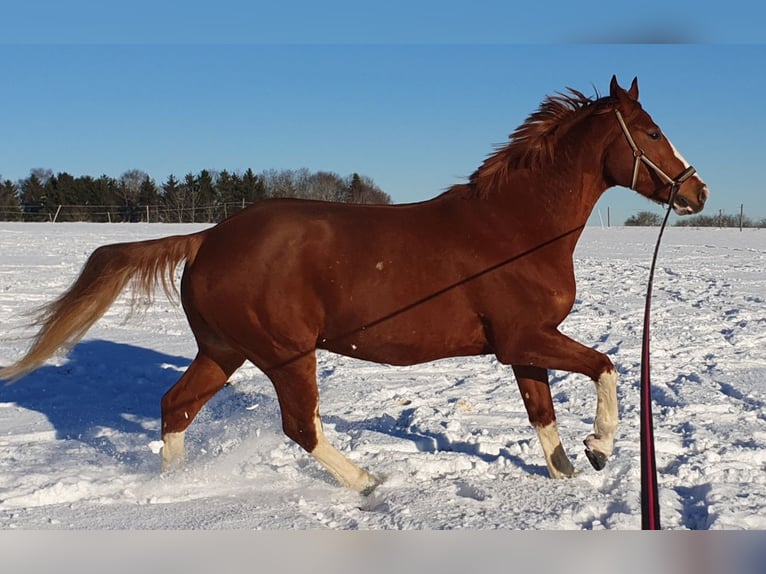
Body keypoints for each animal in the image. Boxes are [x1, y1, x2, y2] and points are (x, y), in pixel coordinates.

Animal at [1, 74, 708, 492]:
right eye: (651, 131)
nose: (696, 191)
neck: (516, 228)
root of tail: (208, 238)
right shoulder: (523, 337)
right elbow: (606, 366)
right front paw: (600, 448)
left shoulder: (522, 345)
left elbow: (543, 415)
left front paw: (567, 472)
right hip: (286, 355)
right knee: (299, 425)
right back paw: (368, 484)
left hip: (224, 350)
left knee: (177, 405)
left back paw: (174, 488)